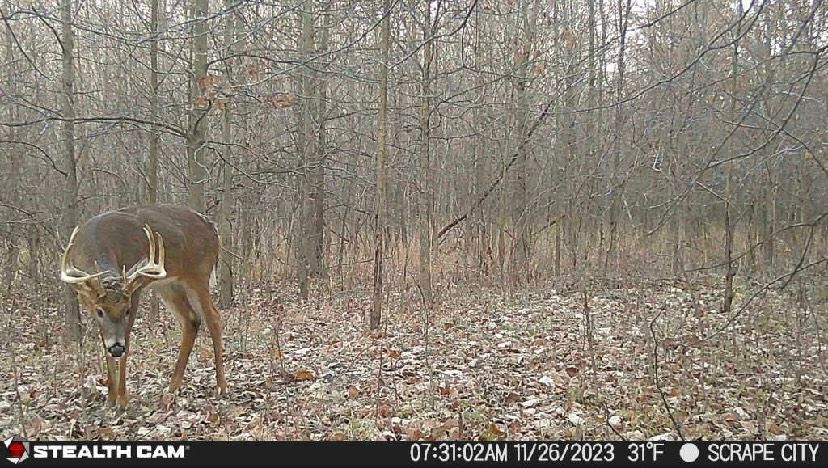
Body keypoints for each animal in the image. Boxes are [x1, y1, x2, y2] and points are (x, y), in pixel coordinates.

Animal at [59, 204, 226, 409]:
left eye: (127, 309)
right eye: (100, 311)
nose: (116, 348)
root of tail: (213, 228)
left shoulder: (135, 293)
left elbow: (127, 339)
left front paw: (122, 400)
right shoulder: (87, 300)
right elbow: (104, 344)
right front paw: (110, 399)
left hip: (198, 274)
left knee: (214, 318)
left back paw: (221, 386)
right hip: (167, 284)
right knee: (192, 319)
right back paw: (171, 388)